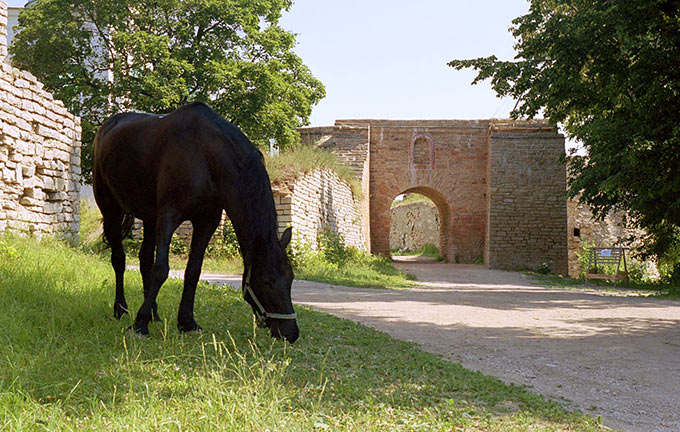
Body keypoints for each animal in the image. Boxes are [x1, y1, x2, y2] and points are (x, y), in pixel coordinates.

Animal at [92, 103, 298, 342]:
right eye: (266, 281)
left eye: (291, 279)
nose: (291, 333)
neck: (206, 155)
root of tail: (107, 127)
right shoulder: (169, 216)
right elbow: (161, 269)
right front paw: (139, 325)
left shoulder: (206, 221)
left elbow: (192, 271)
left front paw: (187, 322)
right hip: (111, 210)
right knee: (119, 260)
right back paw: (122, 309)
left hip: (150, 218)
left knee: (144, 260)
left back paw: (153, 313)